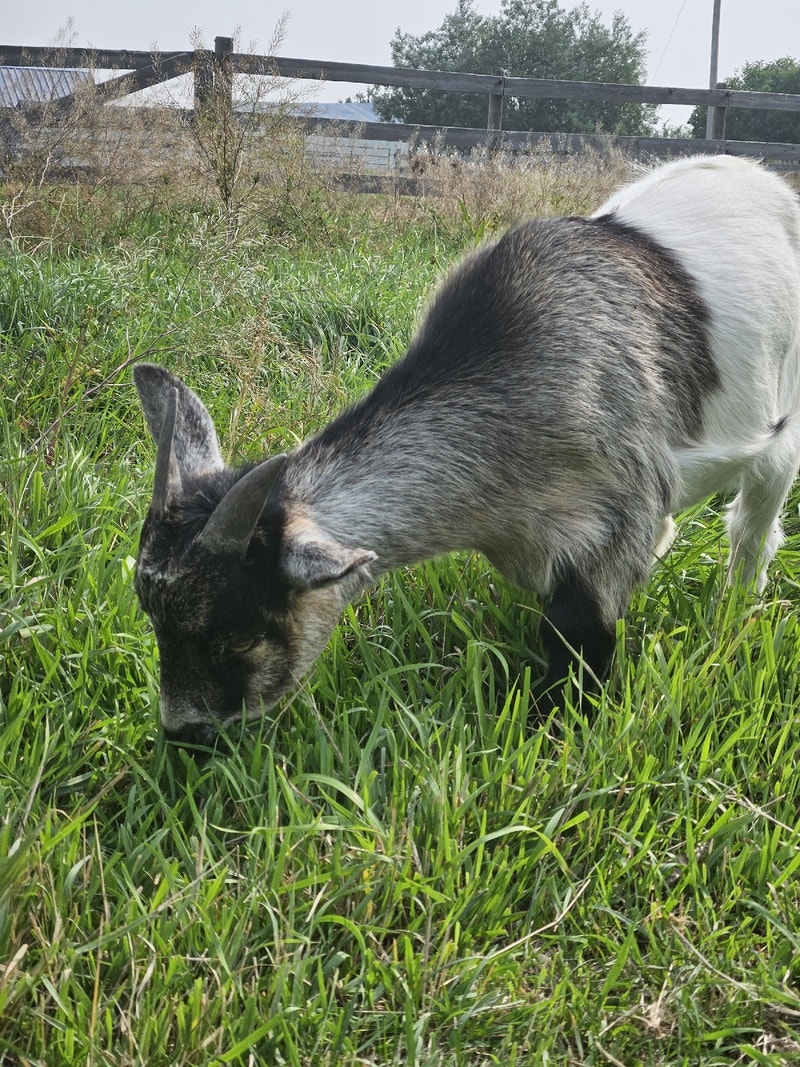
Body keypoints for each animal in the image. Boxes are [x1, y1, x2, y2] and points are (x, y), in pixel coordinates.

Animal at [134, 155, 800, 747]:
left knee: (754, 524)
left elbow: (581, 632)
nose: (185, 736)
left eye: (240, 638)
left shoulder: (617, 508)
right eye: (154, 622)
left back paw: (736, 609)